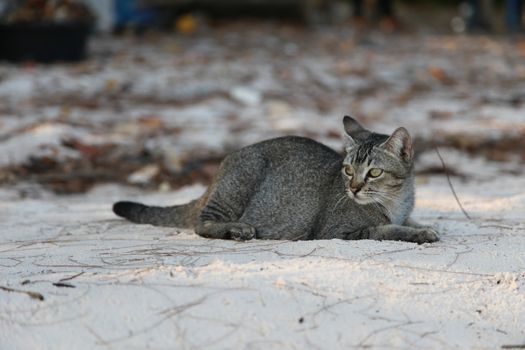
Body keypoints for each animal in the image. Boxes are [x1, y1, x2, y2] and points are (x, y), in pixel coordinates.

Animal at [113, 117, 438, 243]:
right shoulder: (338, 231)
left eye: (374, 172)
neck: (395, 200)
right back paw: (236, 229)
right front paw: (420, 233)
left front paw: (421, 225)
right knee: (202, 224)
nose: (353, 188)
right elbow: (386, 229)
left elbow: (406, 221)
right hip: (242, 180)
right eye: (348, 170)